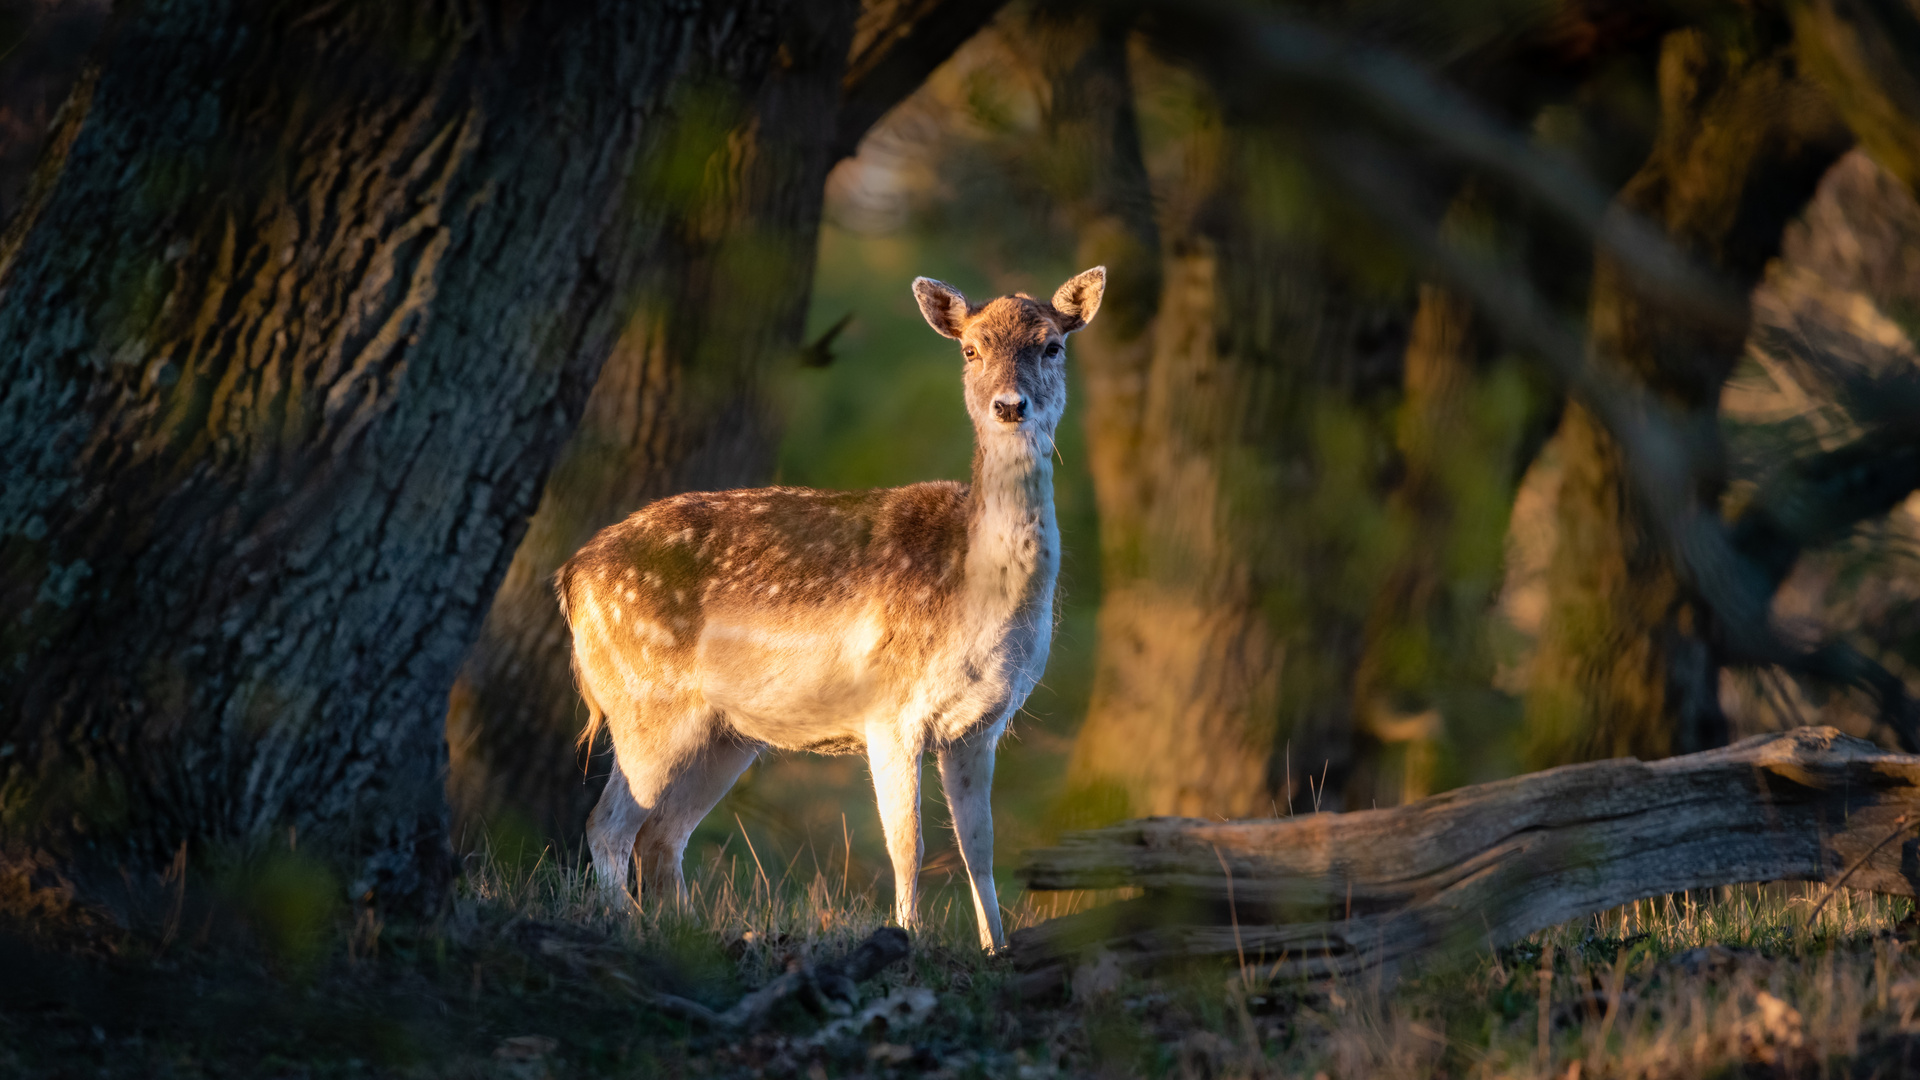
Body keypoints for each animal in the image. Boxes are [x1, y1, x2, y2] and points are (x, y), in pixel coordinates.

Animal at [552, 265, 1113, 945]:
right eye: (971, 349)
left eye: (1051, 346)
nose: (1009, 406)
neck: (977, 594)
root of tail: (571, 576)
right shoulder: (891, 709)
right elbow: (908, 846)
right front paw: (907, 937)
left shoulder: (982, 723)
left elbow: (980, 848)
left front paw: (994, 950)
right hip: (643, 702)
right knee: (608, 824)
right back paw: (628, 925)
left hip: (725, 734)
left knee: (660, 834)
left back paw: (688, 934)